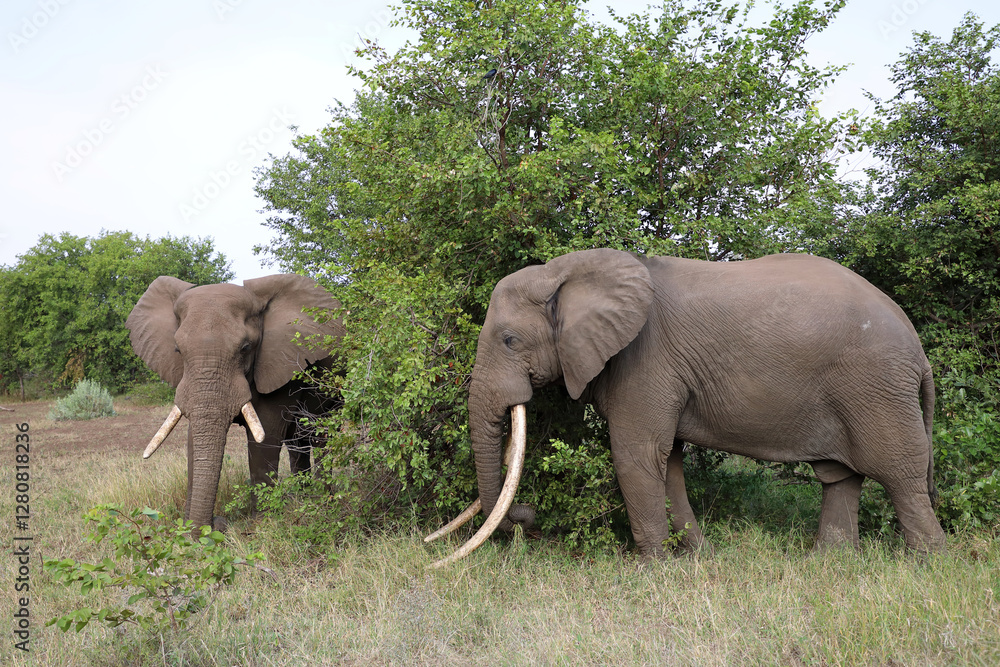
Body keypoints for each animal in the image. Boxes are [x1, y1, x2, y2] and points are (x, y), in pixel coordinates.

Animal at [126, 273, 345, 531]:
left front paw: (262, 523)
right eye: (178, 350)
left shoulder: (280, 363)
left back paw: (322, 501)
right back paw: (305, 498)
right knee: (297, 442)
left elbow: (266, 436)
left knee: (321, 438)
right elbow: (194, 438)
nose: (217, 523)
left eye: (246, 347)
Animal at [427, 249, 946, 566]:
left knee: (900, 474)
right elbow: (668, 463)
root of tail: (918, 349)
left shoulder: (645, 362)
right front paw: (695, 557)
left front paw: (649, 569)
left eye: (510, 340)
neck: (568, 271)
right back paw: (829, 563)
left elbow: (635, 456)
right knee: (842, 477)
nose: (528, 516)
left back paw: (927, 566)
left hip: (875, 387)